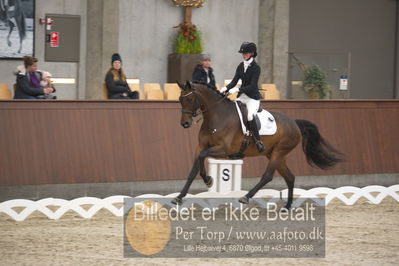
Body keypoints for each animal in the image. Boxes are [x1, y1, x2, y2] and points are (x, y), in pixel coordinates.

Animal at [172, 81, 344, 208]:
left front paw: (208, 180)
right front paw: (179, 197)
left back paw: (246, 197)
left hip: (278, 153)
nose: (185, 124)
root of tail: (294, 123)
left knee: (267, 176)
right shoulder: (201, 147)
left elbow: (202, 158)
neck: (217, 116)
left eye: (190, 99)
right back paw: (287, 206)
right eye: (180, 100)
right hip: (275, 154)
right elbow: (193, 170)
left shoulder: (223, 150)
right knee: (290, 177)